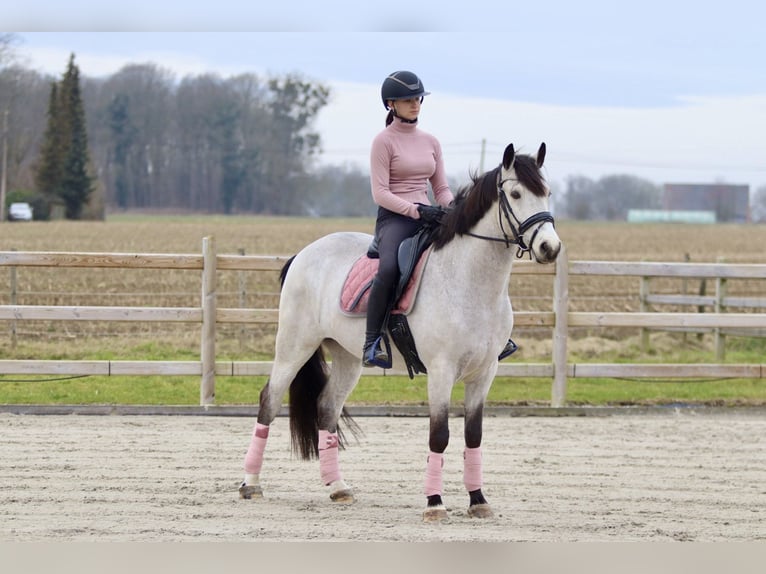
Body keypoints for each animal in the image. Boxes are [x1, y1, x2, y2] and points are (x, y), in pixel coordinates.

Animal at [242, 143, 564, 520]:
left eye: (547, 193)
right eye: (515, 194)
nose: (550, 248)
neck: (469, 281)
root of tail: (304, 253)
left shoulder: (484, 373)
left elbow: (474, 435)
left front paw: (478, 501)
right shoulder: (441, 371)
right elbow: (439, 435)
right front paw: (435, 503)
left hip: (347, 357)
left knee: (327, 408)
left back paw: (338, 487)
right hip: (295, 346)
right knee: (269, 400)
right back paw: (250, 484)